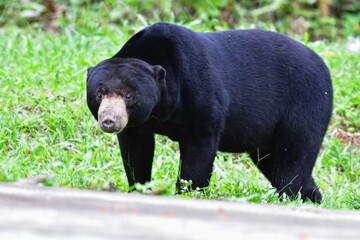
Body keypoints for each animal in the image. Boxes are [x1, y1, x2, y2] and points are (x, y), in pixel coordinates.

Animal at [86, 22, 332, 202]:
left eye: (128, 95)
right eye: (99, 94)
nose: (109, 120)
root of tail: (324, 65)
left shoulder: (198, 91)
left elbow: (200, 144)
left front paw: (187, 191)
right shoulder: (139, 124)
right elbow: (135, 149)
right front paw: (139, 187)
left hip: (304, 104)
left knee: (293, 155)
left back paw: (288, 196)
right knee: (275, 161)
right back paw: (312, 197)